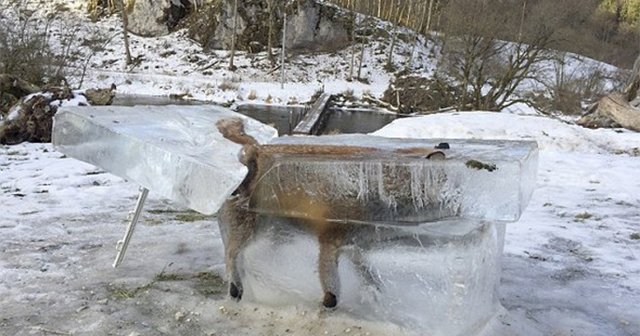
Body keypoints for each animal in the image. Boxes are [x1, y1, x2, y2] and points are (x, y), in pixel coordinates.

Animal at [215, 117, 444, 308]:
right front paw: (328, 305)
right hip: (251, 229)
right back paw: (236, 287)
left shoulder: (355, 244)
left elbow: (368, 273)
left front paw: (374, 292)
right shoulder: (330, 241)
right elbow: (332, 290)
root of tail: (256, 149)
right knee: (231, 254)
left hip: (274, 232)